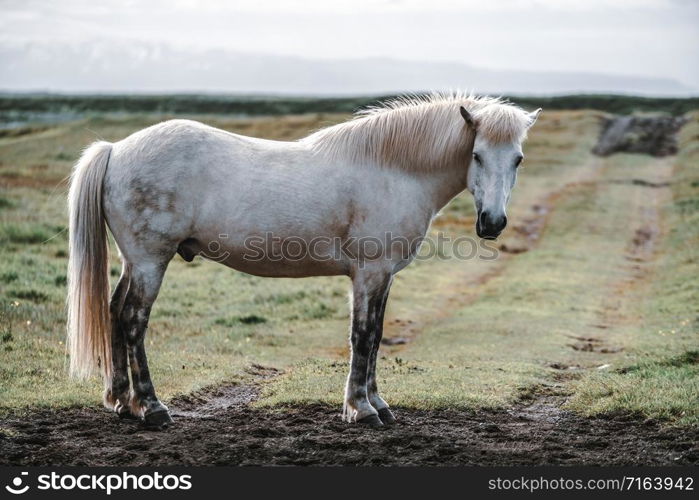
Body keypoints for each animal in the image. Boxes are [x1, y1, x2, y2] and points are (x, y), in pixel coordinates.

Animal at [67, 94, 540, 430]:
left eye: (517, 159)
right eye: (477, 155)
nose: (492, 223)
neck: (393, 170)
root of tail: (116, 149)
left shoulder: (383, 277)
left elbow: (376, 336)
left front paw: (377, 403)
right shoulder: (369, 273)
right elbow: (362, 337)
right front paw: (361, 410)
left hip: (134, 262)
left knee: (113, 311)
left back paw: (121, 401)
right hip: (150, 261)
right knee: (133, 320)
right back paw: (151, 407)